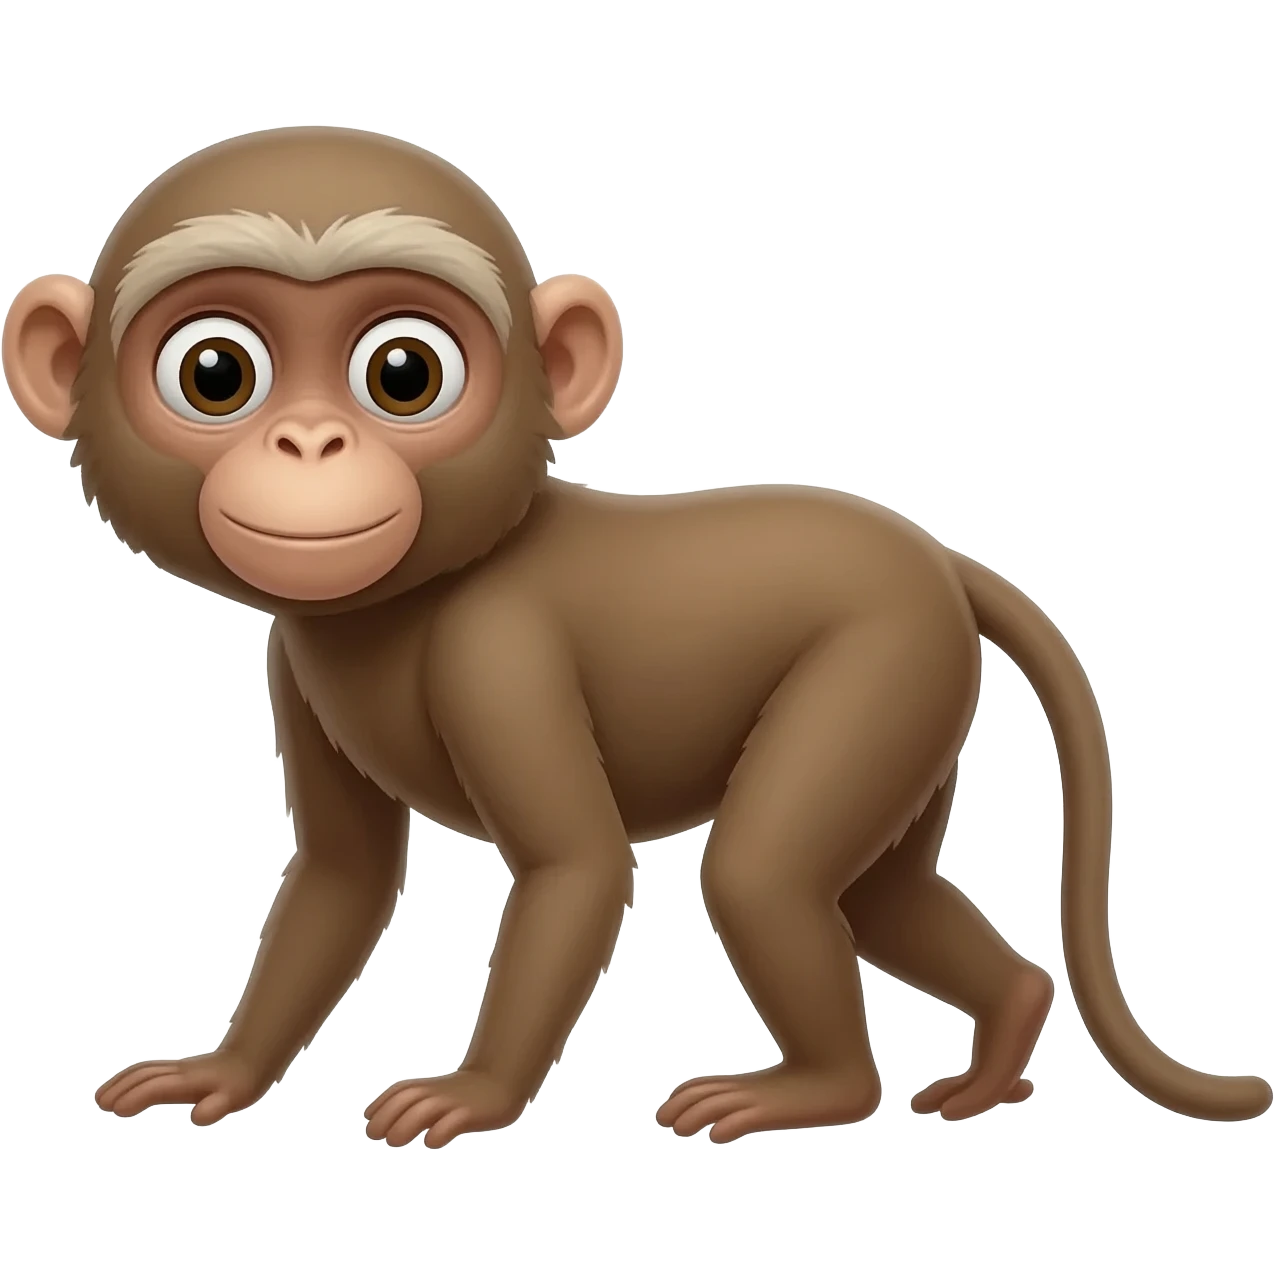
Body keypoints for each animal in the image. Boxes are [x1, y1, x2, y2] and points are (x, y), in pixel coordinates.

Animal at [4, 126, 1268, 1146]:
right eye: (216, 373)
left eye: (403, 374)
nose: (308, 444)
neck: (419, 589)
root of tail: (931, 556)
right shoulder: (296, 658)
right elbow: (342, 877)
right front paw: (224, 1069)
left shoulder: (495, 648)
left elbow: (577, 865)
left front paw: (476, 1094)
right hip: (923, 690)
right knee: (878, 894)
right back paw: (1003, 1037)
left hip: (884, 661)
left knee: (765, 874)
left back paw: (817, 1087)